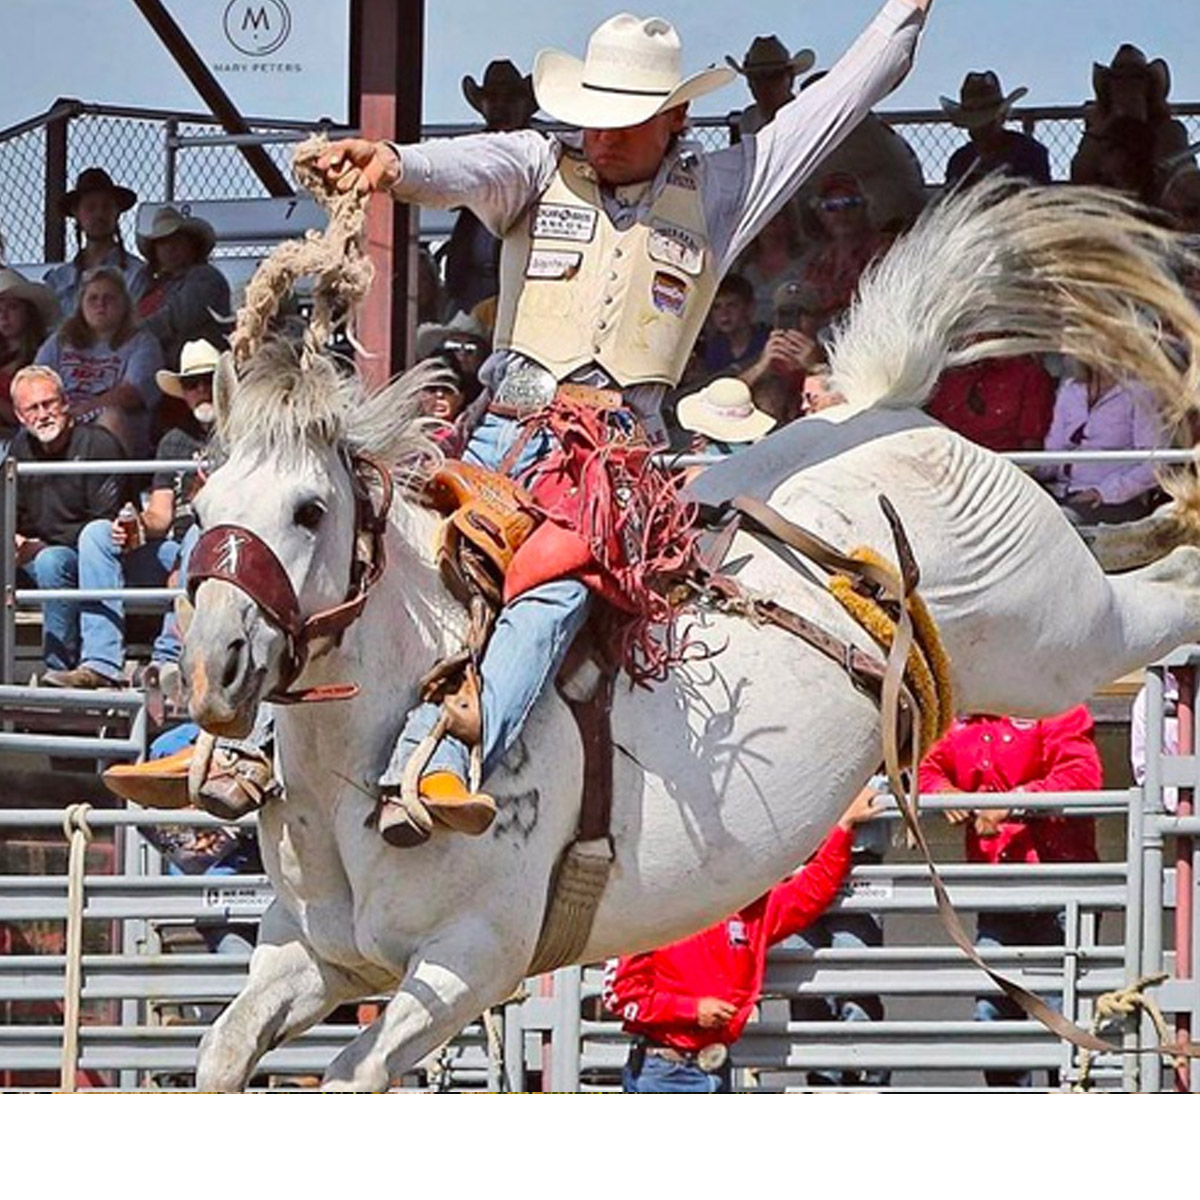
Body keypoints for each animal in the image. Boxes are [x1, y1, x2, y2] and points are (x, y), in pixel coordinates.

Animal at [180, 182, 1200, 1094]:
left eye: (310, 510)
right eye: (200, 503)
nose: (213, 669)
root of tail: (887, 409)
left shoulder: (468, 962)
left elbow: (349, 1076)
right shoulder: (313, 955)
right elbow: (222, 1054)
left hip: (1053, 632)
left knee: (1153, 599)